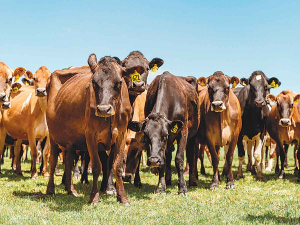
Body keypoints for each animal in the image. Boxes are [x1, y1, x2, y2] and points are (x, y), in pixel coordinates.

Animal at [46, 54, 139, 204]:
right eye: (94, 82)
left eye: (119, 82)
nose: (103, 109)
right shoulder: (90, 135)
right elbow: (96, 166)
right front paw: (94, 198)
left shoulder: (122, 134)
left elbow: (117, 166)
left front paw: (123, 198)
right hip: (53, 136)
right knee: (53, 160)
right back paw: (50, 190)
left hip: (70, 142)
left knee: (68, 161)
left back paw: (71, 190)